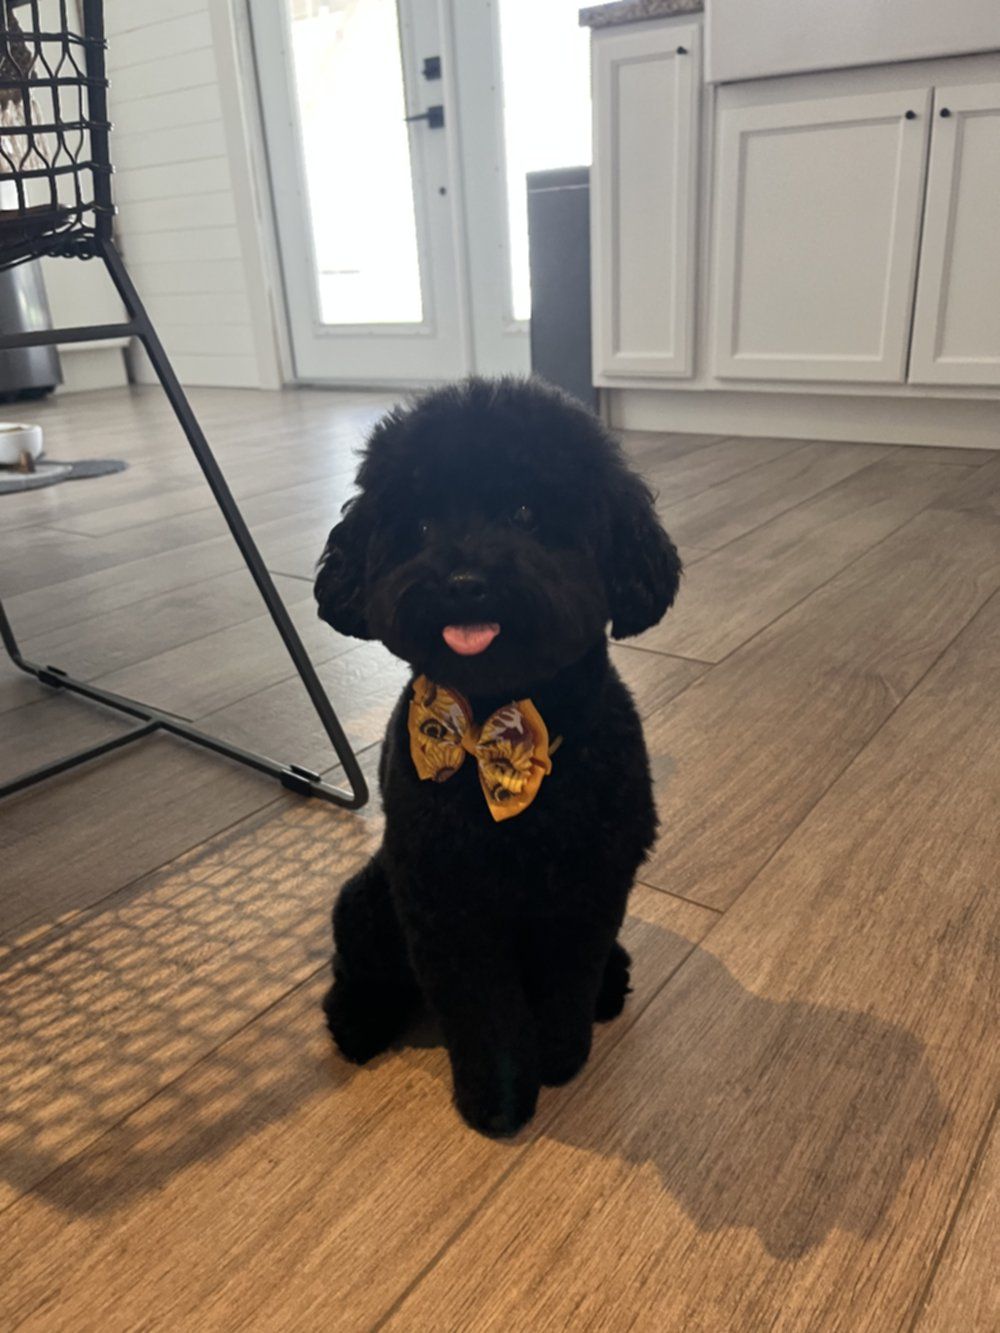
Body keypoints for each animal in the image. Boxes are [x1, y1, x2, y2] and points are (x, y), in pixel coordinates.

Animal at [315, 377, 681, 1136]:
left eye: (525, 511)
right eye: (422, 524)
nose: (463, 580)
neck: (501, 722)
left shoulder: (587, 890)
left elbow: (566, 987)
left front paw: (563, 1059)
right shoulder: (447, 903)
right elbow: (483, 1013)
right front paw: (500, 1103)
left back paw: (613, 985)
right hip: (369, 897)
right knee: (358, 971)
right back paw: (358, 1023)